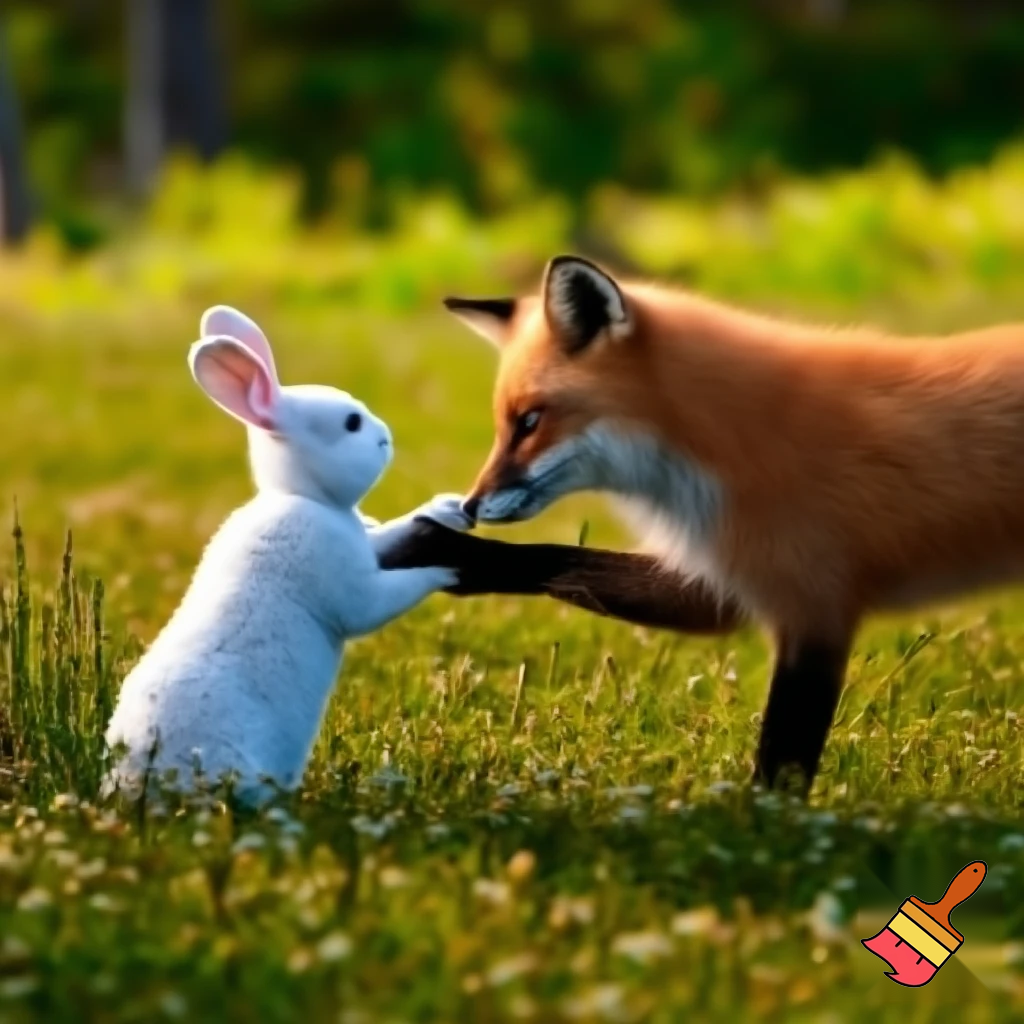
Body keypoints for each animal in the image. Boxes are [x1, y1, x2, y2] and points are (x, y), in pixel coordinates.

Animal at [102, 305, 472, 807]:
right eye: (351, 423)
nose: (386, 437)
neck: (306, 497)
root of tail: (135, 782)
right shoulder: (352, 588)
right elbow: (387, 598)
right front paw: (444, 570)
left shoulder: (366, 547)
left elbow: (391, 533)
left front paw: (443, 508)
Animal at [381, 253, 1024, 794]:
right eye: (503, 424)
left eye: (530, 421)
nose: (471, 506)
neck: (723, 437)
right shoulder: (725, 578)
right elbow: (549, 558)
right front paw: (440, 551)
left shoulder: (813, 608)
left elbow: (780, 769)